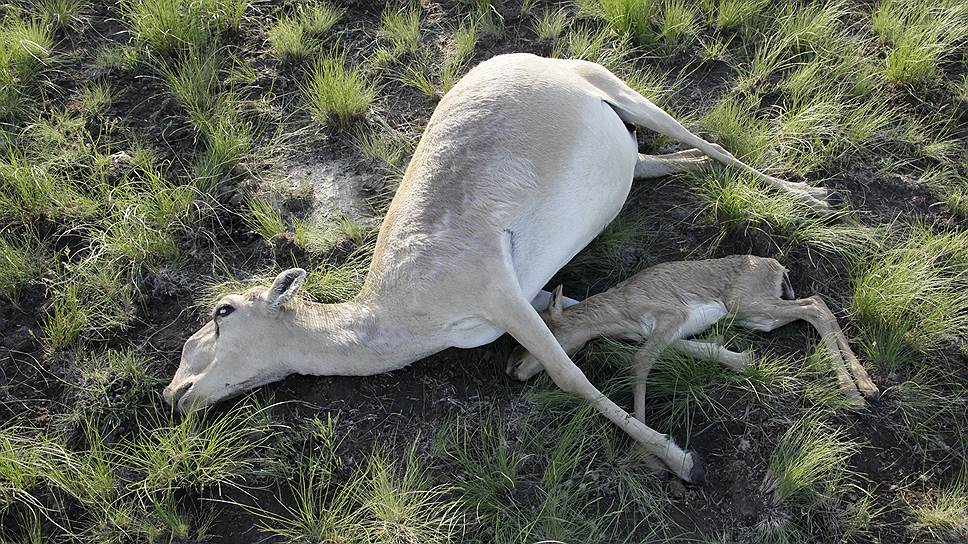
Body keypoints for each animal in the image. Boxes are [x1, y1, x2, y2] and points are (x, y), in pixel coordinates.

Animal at [163, 53, 836, 482]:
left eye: (222, 311)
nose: (174, 394)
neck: (399, 310)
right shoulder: (536, 298)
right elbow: (615, 327)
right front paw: (735, 358)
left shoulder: (501, 294)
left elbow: (570, 374)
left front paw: (679, 459)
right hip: (628, 145)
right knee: (665, 161)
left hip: (622, 91)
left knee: (710, 142)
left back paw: (810, 195)